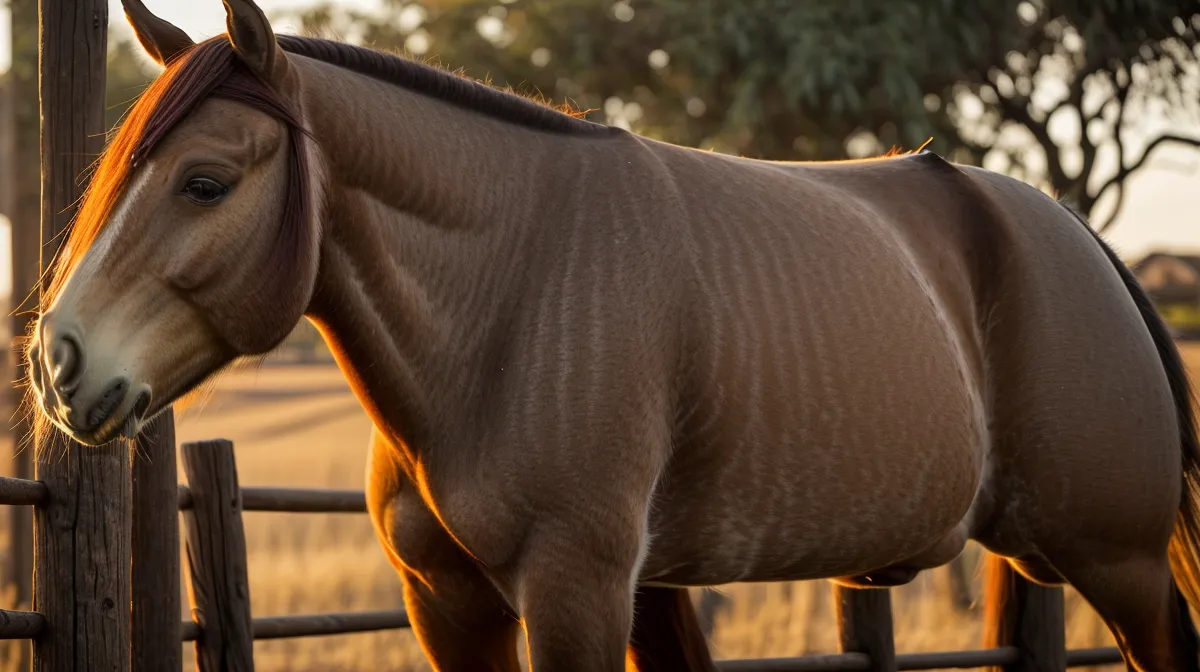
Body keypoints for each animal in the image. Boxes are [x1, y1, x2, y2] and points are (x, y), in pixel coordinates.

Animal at [25, 1, 1200, 670]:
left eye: (205, 181)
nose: (57, 362)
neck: (508, 299)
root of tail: (1083, 241)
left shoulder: (577, 595)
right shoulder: (453, 608)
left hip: (1125, 565)